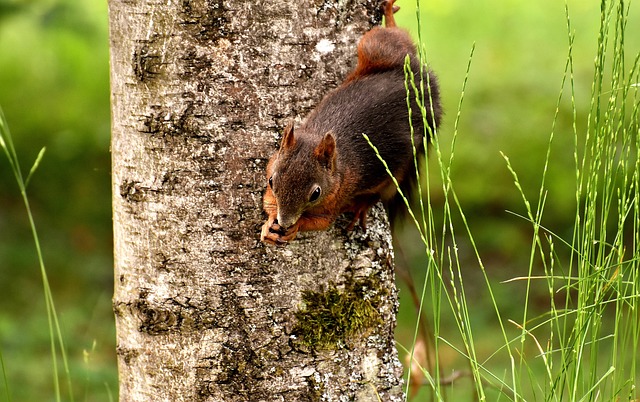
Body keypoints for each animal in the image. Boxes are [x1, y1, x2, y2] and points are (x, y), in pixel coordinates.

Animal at [260, 0, 440, 245]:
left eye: (315, 193)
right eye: (271, 181)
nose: (285, 222)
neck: (338, 166)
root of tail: (423, 87)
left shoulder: (338, 195)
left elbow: (322, 222)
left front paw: (295, 227)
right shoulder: (272, 162)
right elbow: (267, 201)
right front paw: (269, 225)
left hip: (399, 169)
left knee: (384, 190)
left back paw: (360, 207)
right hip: (379, 48)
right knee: (398, 42)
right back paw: (389, 14)